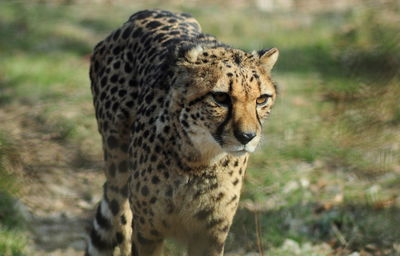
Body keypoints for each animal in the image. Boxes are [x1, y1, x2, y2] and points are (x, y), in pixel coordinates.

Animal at [88, 9, 278, 255]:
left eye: (261, 99)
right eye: (220, 97)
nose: (247, 137)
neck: (197, 161)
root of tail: (144, 13)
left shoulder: (210, 234)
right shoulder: (148, 230)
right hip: (117, 172)